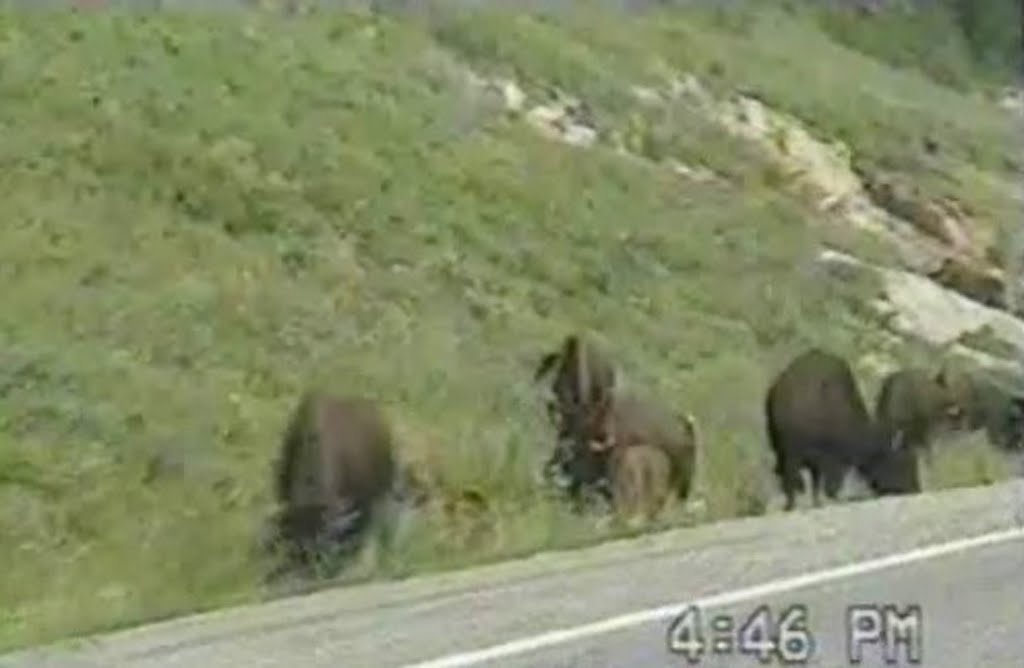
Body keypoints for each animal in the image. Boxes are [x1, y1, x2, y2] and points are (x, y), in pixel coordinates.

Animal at [761, 346, 921, 508]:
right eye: (904, 461)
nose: (915, 488)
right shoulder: (823, 460)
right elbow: (825, 488)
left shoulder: (821, 464)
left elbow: (818, 486)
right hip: (789, 453)